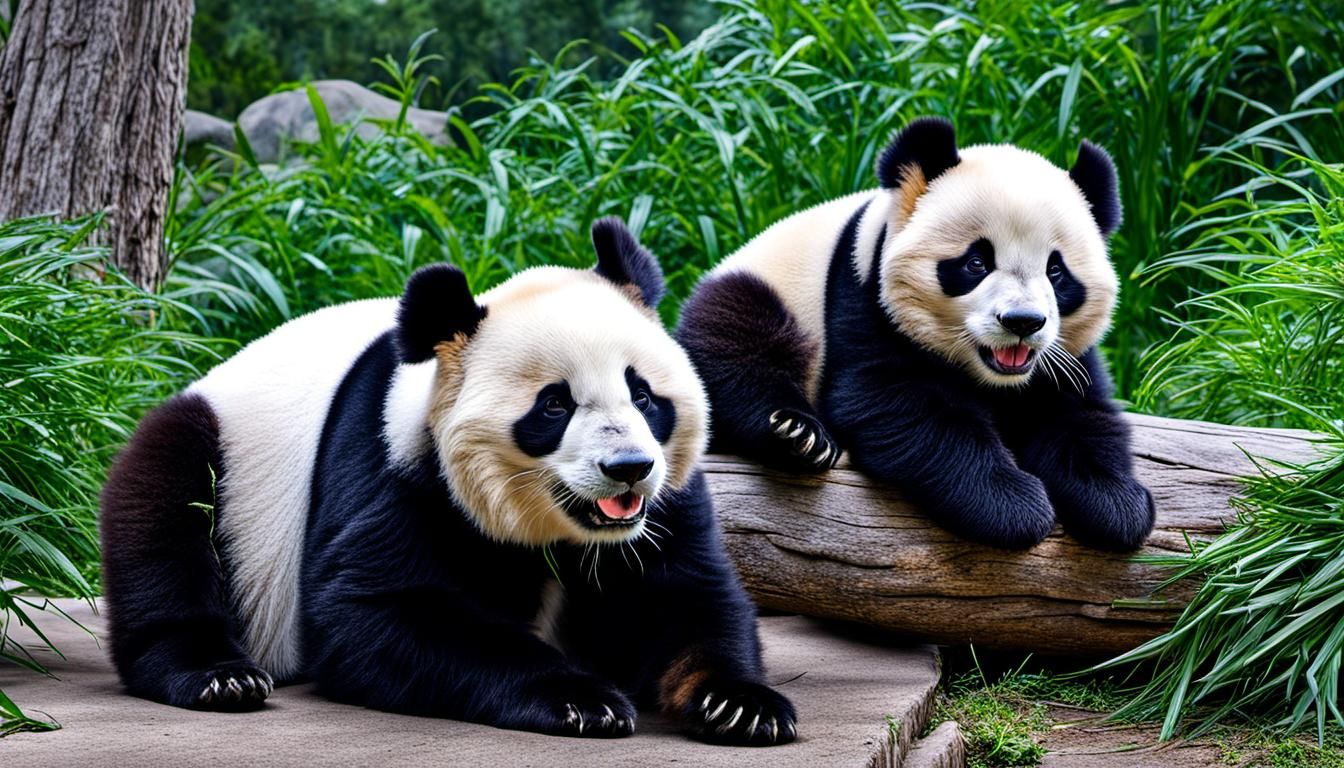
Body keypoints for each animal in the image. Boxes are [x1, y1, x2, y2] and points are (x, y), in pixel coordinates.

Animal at [100, 218, 796, 746]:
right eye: (554, 406)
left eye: (644, 395)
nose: (627, 469)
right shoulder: (394, 470)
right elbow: (373, 613)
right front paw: (581, 697)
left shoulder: (668, 502)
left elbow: (691, 595)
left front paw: (741, 705)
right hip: (220, 451)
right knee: (166, 517)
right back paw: (218, 674)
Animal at [677, 118, 1155, 552]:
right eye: (976, 263)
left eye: (1056, 271)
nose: (1022, 322)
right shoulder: (864, 298)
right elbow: (899, 403)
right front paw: (1014, 504)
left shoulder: (1062, 356)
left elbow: (1078, 415)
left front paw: (1119, 505)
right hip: (764, 291)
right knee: (734, 349)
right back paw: (799, 437)